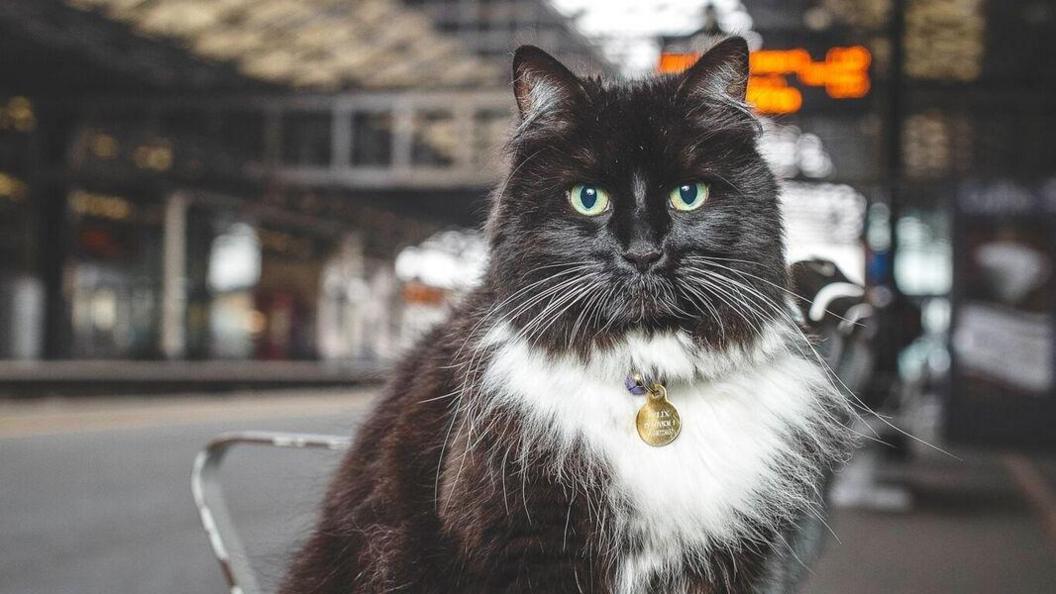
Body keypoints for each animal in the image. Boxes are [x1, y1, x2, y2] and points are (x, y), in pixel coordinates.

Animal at [278, 38, 849, 591]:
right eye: (588, 198)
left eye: (688, 195)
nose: (643, 253)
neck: (646, 373)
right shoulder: (528, 548)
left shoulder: (727, 558)